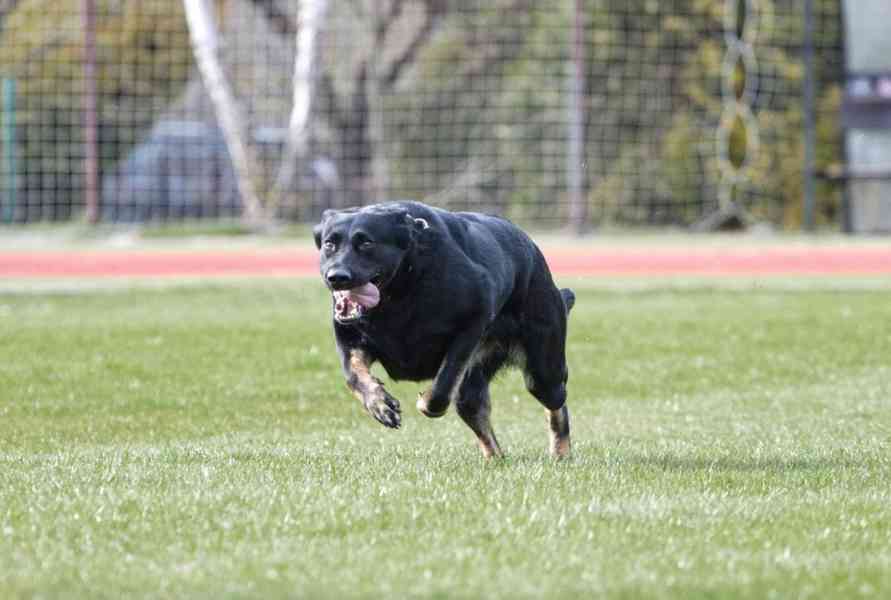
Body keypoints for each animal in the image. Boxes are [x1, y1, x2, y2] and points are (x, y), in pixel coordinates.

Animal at [316, 203, 580, 460]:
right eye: (329, 244)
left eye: (367, 243)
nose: (336, 277)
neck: (400, 291)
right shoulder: (350, 340)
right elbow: (353, 376)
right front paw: (379, 404)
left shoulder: (474, 320)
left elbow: (441, 389)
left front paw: (424, 402)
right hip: (478, 385)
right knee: (474, 410)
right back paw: (495, 459)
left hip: (543, 372)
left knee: (557, 403)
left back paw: (560, 452)